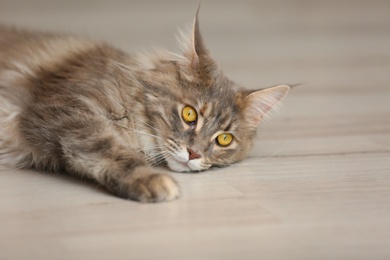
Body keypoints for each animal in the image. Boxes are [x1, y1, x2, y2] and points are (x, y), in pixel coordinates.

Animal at [0, 11, 290, 203]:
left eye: (224, 139)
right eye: (189, 114)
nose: (194, 154)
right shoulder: (68, 109)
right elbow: (110, 149)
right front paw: (150, 179)